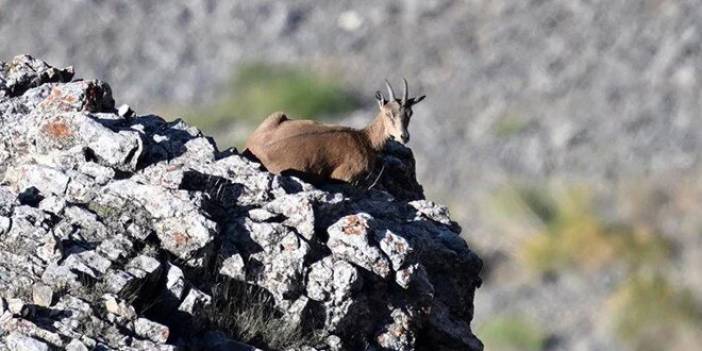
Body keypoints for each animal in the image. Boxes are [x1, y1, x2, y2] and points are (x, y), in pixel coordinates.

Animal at [245, 79, 426, 184]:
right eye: (388, 113)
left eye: (410, 113)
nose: (404, 136)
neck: (365, 139)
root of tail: (251, 145)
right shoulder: (344, 175)